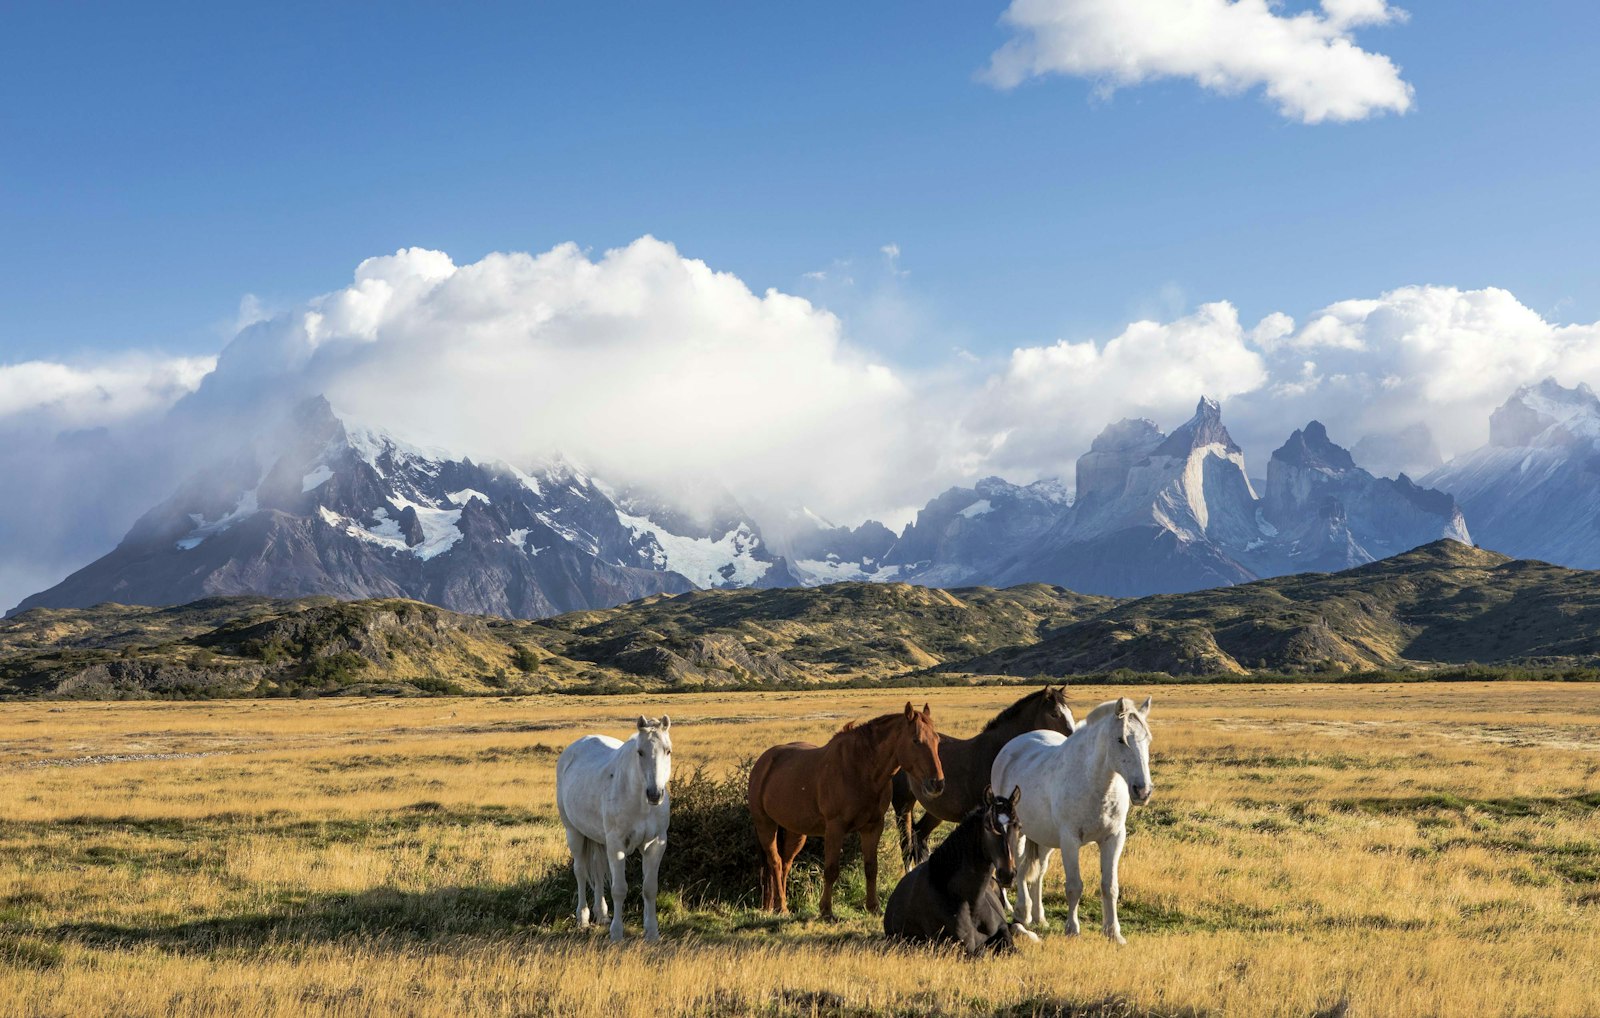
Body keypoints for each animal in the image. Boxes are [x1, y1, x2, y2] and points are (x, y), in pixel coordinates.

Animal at [556, 714, 673, 942]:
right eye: (640, 751)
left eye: (668, 750)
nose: (655, 794)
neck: (640, 802)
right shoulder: (617, 844)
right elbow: (619, 889)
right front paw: (617, 933)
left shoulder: (655, 844)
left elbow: (650, 889)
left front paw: (652, 932)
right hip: (574, 833)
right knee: (581, 871)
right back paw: (583, 917)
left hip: (599, 840)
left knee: (599, 871)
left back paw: (602, 914)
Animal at [748, 702, 945, 919]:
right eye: (916, 740)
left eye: (937, 740)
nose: (937, 783)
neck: (861, 770)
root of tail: (763, 762)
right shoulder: (835, 827)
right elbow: (831, 869)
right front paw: (826, 911)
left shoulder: (873, 826)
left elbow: (871, 867)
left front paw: (873, 907)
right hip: (765, 825)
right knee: (774, 861)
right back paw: (782, 907)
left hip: (795, 832)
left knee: (785, 863)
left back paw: (776, 905)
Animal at [883, 785, 1037, 957]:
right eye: (988, 827)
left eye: (1018, 826)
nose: (1007, 874)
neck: (971, 904)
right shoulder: (963, 948)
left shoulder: (1002, 930)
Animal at [891, 685, 1077, 868]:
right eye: (1054, 714)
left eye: (1069, 712)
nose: (1072, 741)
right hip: (903, 805)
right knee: (906, 844)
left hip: (935, 811)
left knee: (919, 836)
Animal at [990, 696, 1153, 943]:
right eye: (1120, 739)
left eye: (1148, 740)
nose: (1142, 791)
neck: (1096, 784)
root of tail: (1012, 746)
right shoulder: (1070, 840)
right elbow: (1074, 886)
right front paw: (1073, 930)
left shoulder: (1114, 838)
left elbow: (1110, 886)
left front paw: (1113, 932)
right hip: (1017, 834)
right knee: (1019, 866)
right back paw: (1023, 911)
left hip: (1045, 838)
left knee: (1038, 872)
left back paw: (1039, 917)